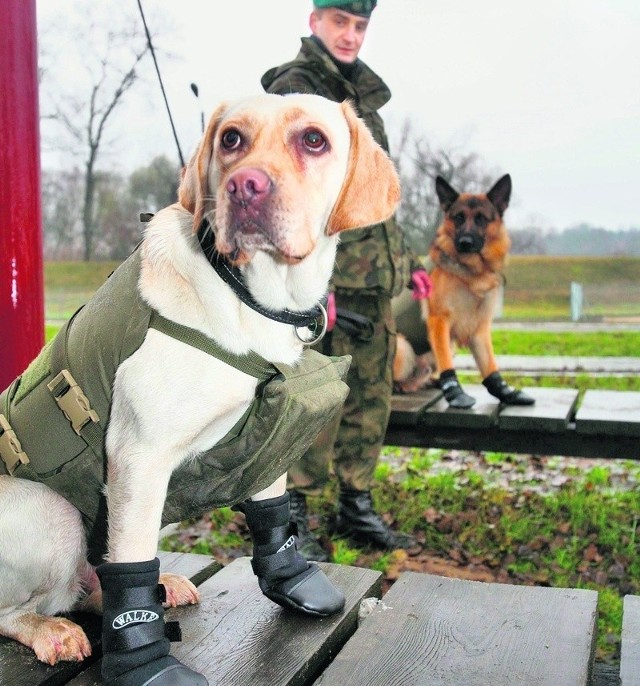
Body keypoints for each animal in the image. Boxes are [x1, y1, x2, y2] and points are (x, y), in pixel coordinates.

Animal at [0, 92, 400, 686]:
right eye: (231, 138)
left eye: (314, 140)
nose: (246, 187)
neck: (249, 295)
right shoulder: (138, 457)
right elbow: (131, 564)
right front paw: (144, 661)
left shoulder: (266, 430)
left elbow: (270, 508)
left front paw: (291, 577)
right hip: (54, 515)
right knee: (25, 604)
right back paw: (49, 628)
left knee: (93, 576)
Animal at [396, 175, 536, 408]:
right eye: (459, 218)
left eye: (481, 219)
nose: (465, 243)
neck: (472, 274)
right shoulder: (439, 322)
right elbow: (446, 363)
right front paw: (455, 393)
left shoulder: (479, 327)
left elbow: (489, 364)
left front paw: (505, 392)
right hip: (402, 346)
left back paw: (427, 382)